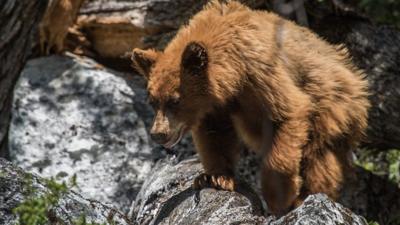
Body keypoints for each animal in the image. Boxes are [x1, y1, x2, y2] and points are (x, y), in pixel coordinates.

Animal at [130, 0, 368, 214]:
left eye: (175, 100)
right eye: (153, 101)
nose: (158, 134)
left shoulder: (261, 75)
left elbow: (287, 115)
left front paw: (280, 197)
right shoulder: (215, 105)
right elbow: (214, 136)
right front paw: (215, 177)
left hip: (331, 104)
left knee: (319, 156)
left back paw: (308, 196)